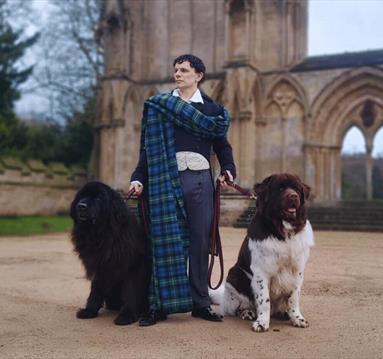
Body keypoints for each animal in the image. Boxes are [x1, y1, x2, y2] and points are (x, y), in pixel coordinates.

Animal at [70, 183, 149, 326]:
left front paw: (127, 315)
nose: (81, 206)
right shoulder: (99, 265)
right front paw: (89, 310)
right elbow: (95, 290)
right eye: (81, 196)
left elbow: (131, 291)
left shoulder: (133, 266)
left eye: (98, 199)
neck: (101, 234)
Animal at [210, 173, 316, 334]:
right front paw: (262, 323)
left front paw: (297, 318)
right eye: (280, 188)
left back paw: (283, 313)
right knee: (237, 307)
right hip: (234, 275)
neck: (283, 232)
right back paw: (247, 312)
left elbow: (293, 298)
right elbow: (264, 300)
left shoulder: (297, 271)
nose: (293, 196)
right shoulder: (261, 273)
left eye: (297, 188)